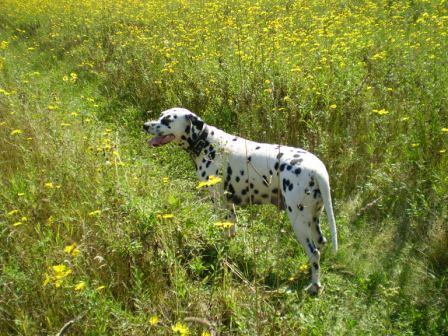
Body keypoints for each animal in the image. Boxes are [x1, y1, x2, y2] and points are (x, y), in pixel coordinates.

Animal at [144, 107, 336, 294]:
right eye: (160, 115)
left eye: (167, 120)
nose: (145, 125)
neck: (207, 143)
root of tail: (317, 169)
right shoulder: (229, 205)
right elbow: (231, 228)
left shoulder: (219, 202)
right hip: (313, 219)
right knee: (321, 244)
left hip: (299, 220)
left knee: (314, 253)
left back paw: (314, 286)